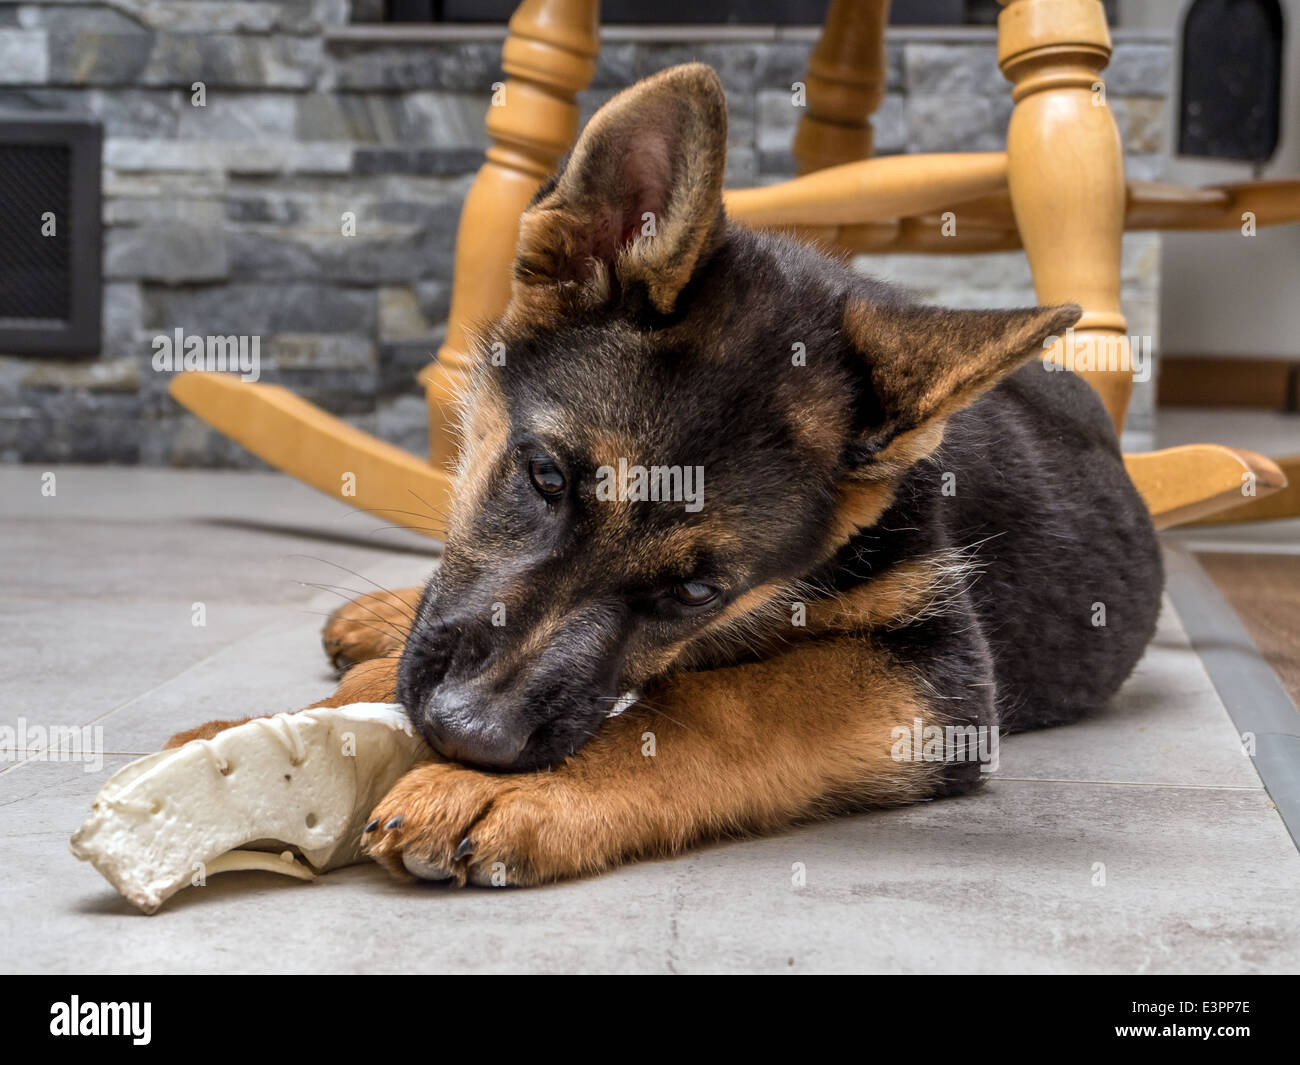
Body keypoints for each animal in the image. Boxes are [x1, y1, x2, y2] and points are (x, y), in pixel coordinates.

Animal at [167, 62, 1164, 889]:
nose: (468, 736)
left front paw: (519, 789)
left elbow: (721, 705)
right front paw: (254, 736)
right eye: (544, 476)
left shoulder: (938, 674)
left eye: (695, 591)